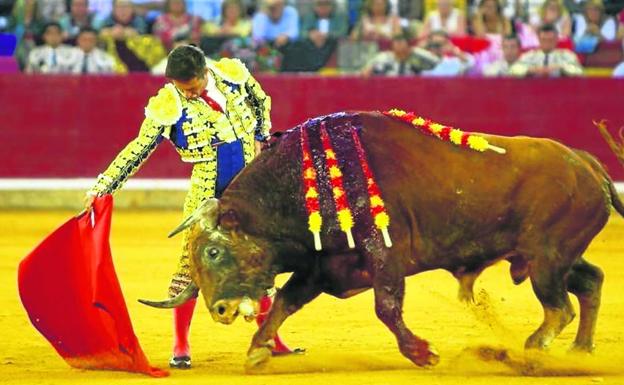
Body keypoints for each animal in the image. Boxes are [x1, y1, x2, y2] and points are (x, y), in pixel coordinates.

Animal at [139, 112, 620, 368]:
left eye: (214, 250)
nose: (219, 311)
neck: (303, 182)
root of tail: (587, 162)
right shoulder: (321, 267)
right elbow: (283, 303)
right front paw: (258, 352)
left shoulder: (384, 252)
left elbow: (386, 306)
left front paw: (423, 353)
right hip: (553, 256)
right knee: (590, 281)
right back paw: (580, 350)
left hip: (547, 258)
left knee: (559, 306)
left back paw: (535, 350)